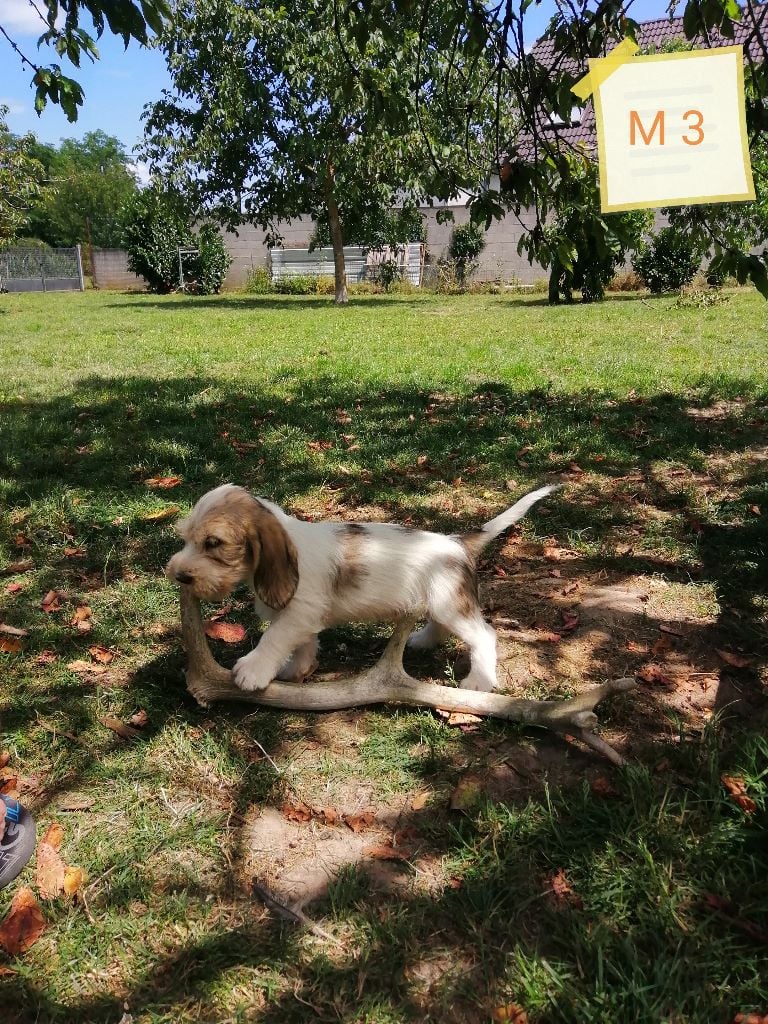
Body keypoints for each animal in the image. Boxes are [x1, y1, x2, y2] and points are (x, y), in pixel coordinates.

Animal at [166, 483, 561, 692]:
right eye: (186, 538)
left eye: (213, 543)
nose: (179, 575)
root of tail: (457, 542)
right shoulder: (302, 616)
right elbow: (302, 645)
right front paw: (296, 670)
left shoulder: (297, 614)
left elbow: (272, 639)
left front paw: (253, 670)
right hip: (441, 601)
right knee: (441, 626)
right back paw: (422, 641)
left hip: (450, 603)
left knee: (483, 636)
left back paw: (479, 680)